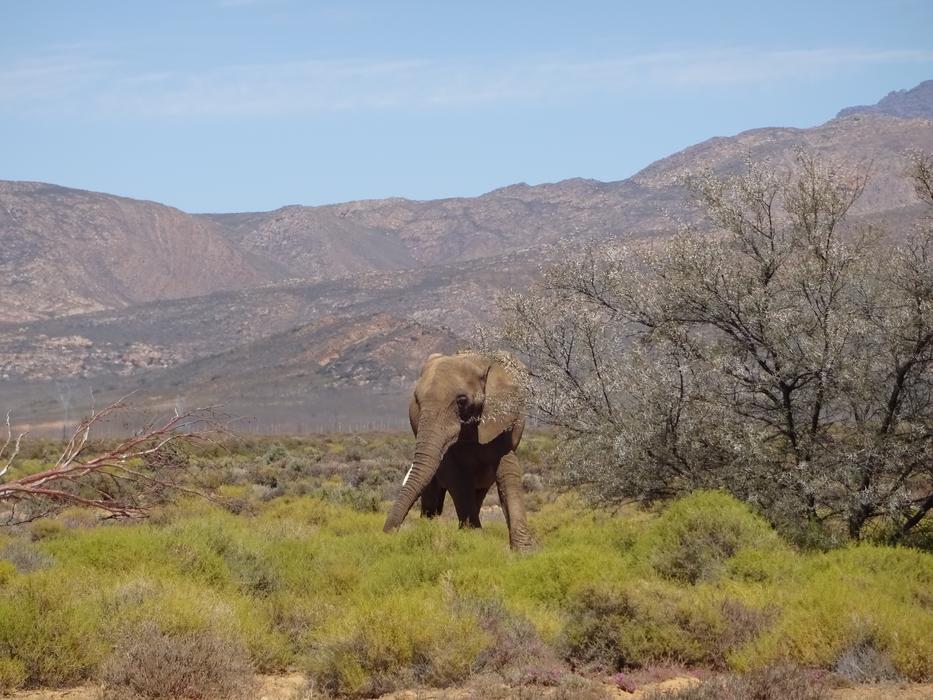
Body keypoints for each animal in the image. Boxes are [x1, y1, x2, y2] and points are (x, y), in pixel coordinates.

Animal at [383, 351, 535, 551]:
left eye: (461, 401)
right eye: (416, 400)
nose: (387, 536)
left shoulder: (500, 422)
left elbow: (507, 472)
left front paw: (525, 551)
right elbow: (456, 478)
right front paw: (474, 539)